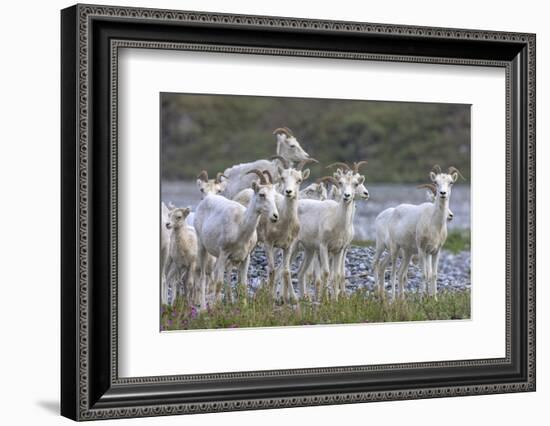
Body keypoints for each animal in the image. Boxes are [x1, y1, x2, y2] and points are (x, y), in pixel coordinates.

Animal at [194, 169, 280, 310]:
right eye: (262, 194)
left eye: (274, 195)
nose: (275, 216)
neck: (240, 226)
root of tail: (206, 200)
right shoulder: (224, 254)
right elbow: (219, 283)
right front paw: (216, 309)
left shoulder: (246, 257)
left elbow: (243, 284)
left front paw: (243, 308)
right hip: (202, 248)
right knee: (202, 278)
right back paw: (203, 308)